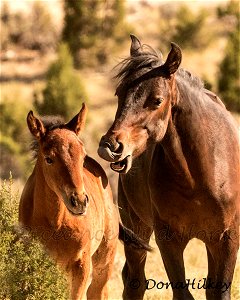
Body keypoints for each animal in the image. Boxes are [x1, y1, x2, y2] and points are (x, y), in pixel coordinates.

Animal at [19, 103, 150, 300]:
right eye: (49, 159)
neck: (55, 223)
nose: (79, 201)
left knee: (97, 291)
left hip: (104, 260)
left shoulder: (81, 264)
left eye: (82, 156)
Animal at [98, 35, 239, 300]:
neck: (199, 177)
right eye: (119, 94)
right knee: (134, 281)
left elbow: (218, 291)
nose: (110, 146)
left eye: (156, 100)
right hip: (137, 230)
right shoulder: (169, 241)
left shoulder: (226, 240)